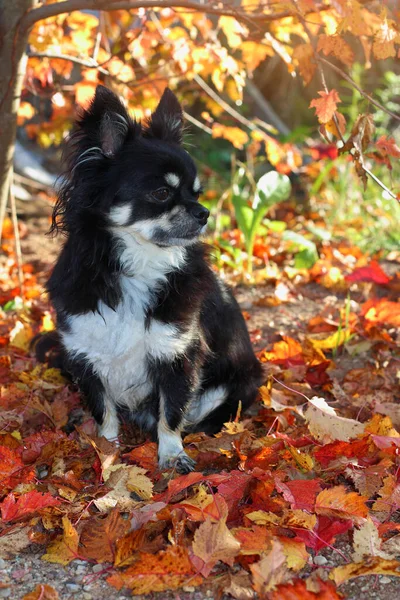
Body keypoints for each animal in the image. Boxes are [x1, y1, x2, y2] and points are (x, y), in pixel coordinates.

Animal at [44, 84, 262, 472]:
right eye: (162, 193)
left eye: (196, 193)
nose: (204, 213)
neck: (137, 267)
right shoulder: (85, 356)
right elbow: (104, 413)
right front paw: (108, 451)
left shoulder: (178, 354)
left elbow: (171, 413)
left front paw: (172, 455)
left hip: (234, 382)